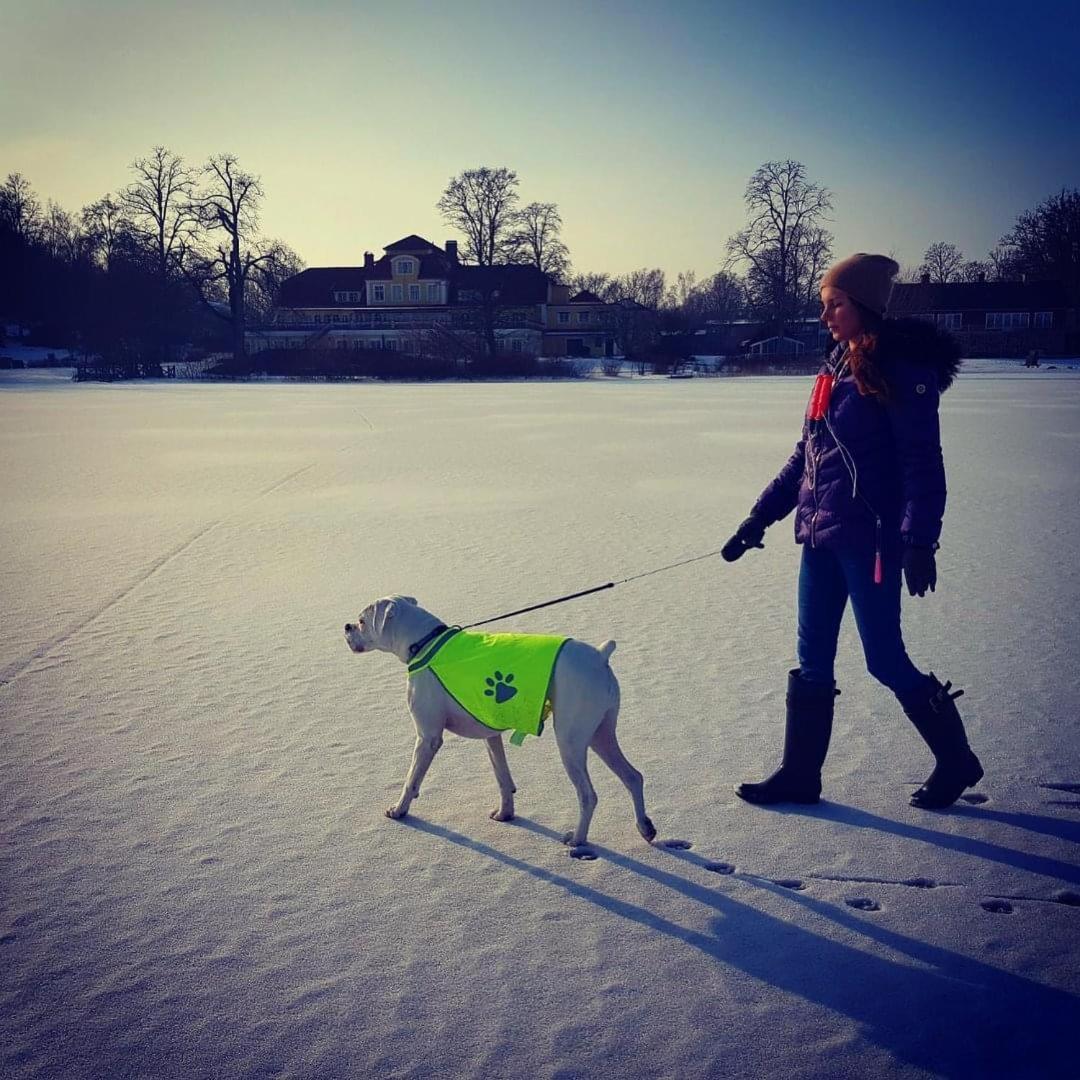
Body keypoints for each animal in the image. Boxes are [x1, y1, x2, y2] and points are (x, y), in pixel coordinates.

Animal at [343, 596, 656, 855]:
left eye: (362, 621)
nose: (346, 626)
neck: (424, 642)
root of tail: (599, 657)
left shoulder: (427, 738)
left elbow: (411, 780)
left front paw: (399, 810)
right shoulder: (490, 737)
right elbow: (503, 778)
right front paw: (506, 814)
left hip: (570, 742)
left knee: (588, 795)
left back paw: (578, 840)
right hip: (601, 735)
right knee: (633, 777)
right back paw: (645, 828)